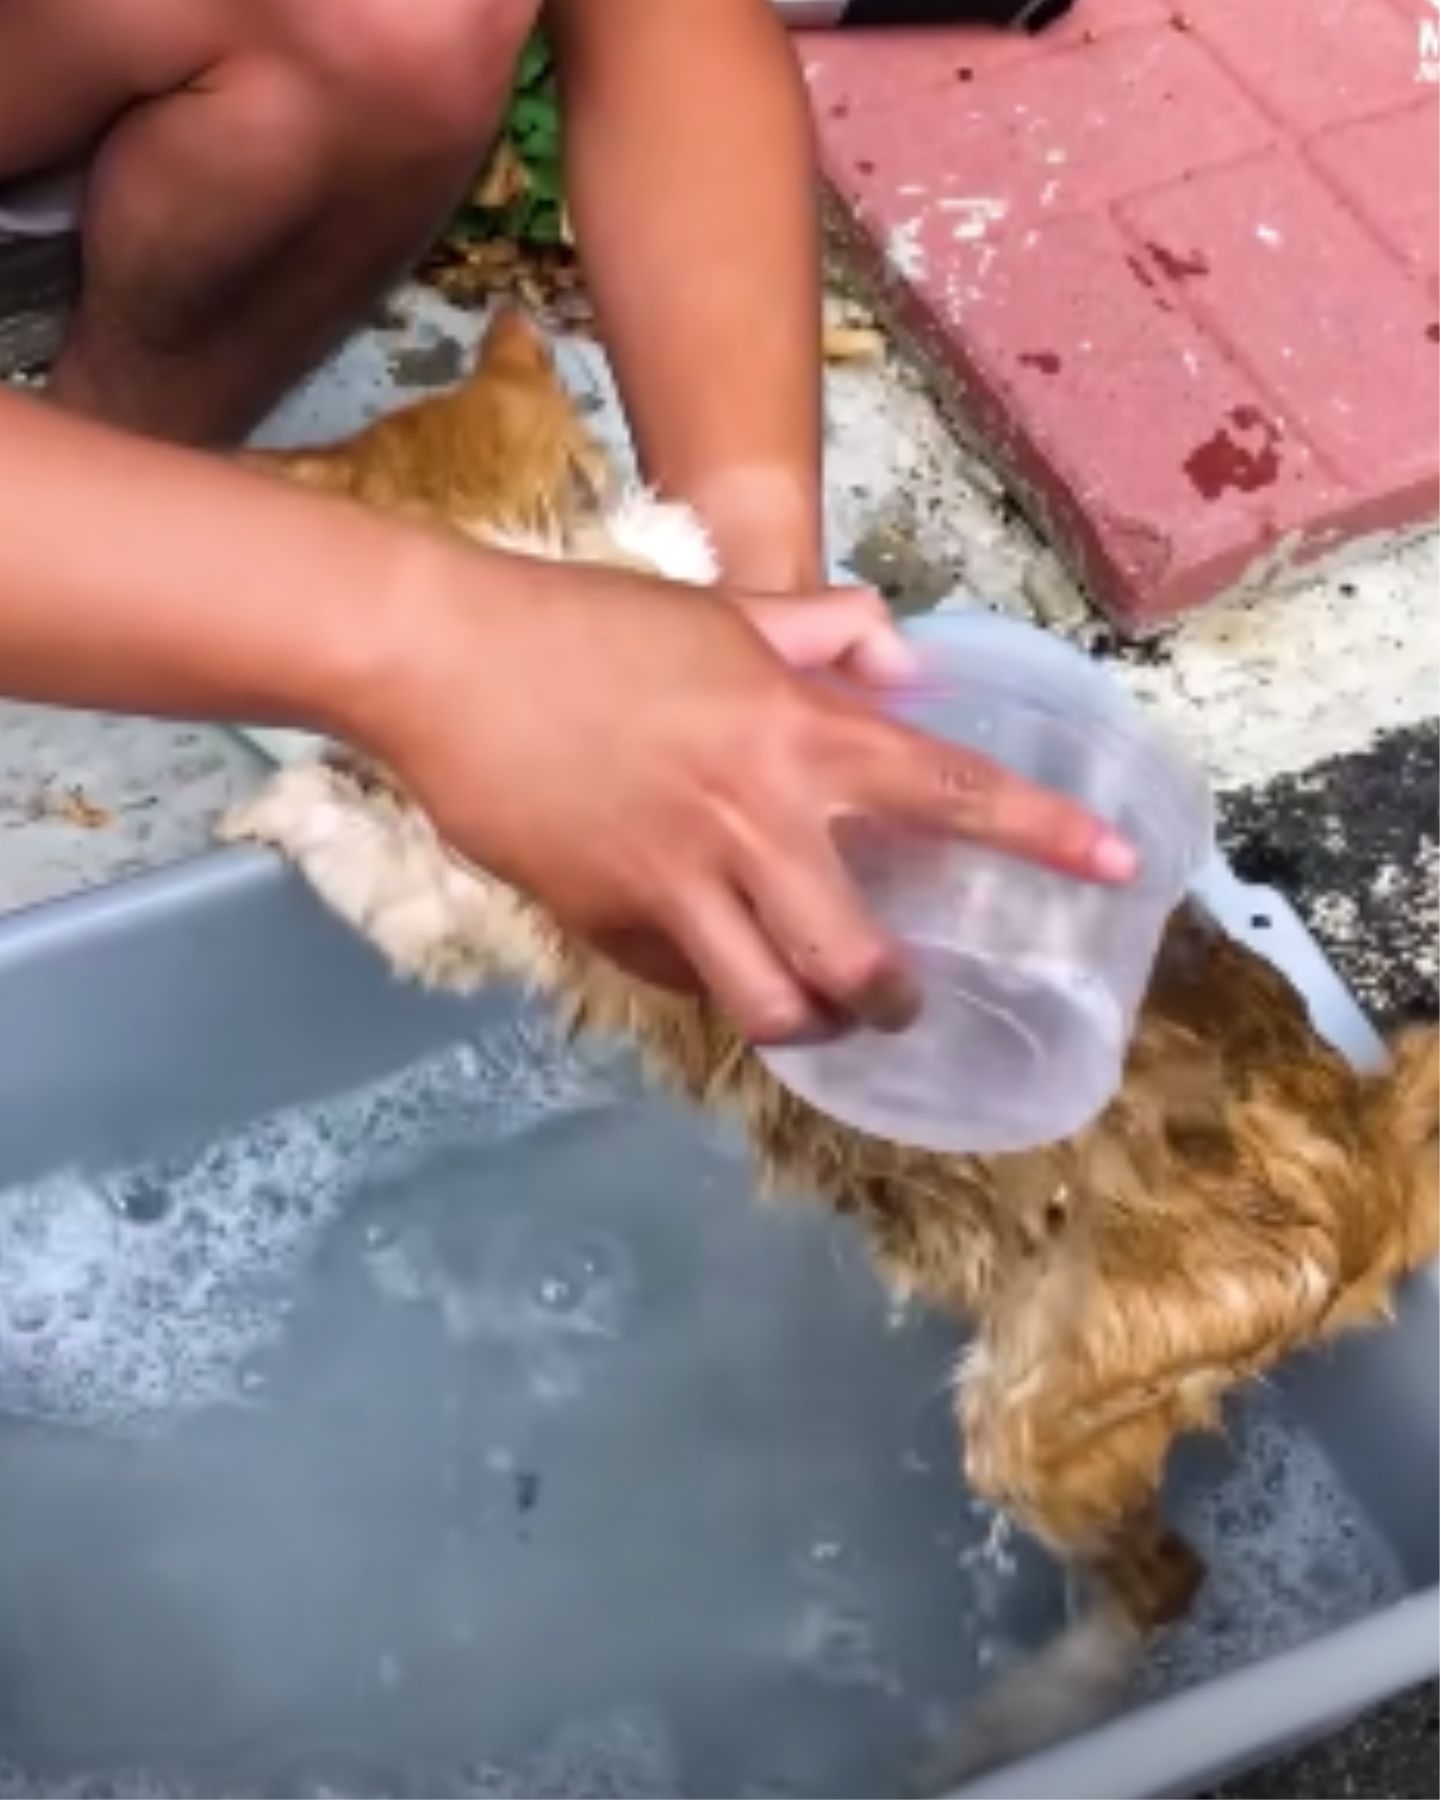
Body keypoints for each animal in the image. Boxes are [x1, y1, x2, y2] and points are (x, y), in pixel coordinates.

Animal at [219, 313, 1432, 1785]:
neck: (559, 571)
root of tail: (1366, 1141)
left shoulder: (470, 892)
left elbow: (368, 848)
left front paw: (283, 782)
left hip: (1039, 1411)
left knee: (1160, 1581)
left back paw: (1016, 1723)